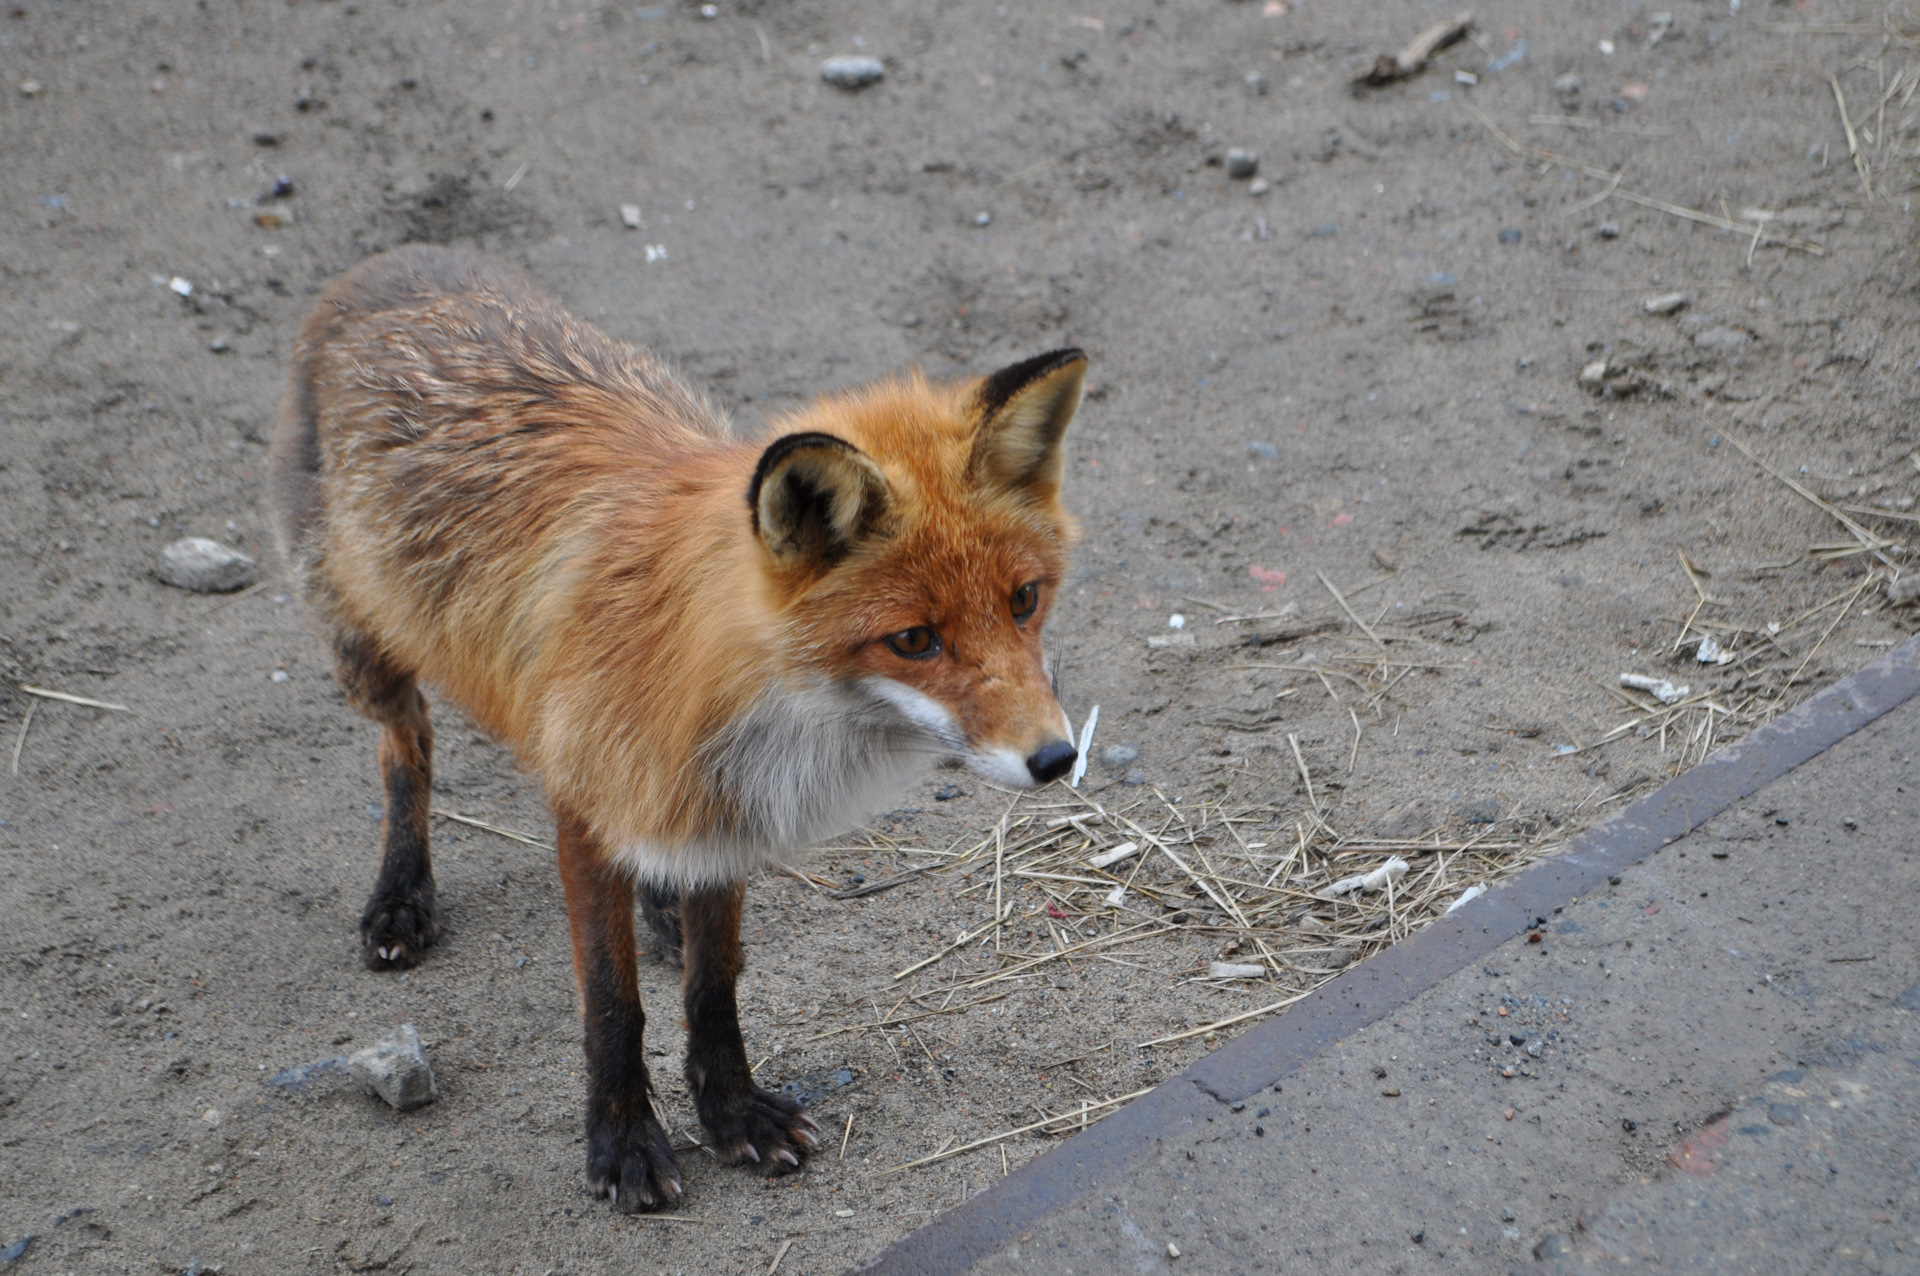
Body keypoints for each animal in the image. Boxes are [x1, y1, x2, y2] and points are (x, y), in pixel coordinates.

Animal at [266, 243, 1098, 1212]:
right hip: (366, 652)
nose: (1056, 758)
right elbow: (612, 1005)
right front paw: (624, 1142)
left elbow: (714, 988)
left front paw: (733, 1113)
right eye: (914, 640)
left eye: (1025, 599)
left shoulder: (725, 807)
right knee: (407, 754)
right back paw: (401, 893)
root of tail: (391, 266)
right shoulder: (591, 805)